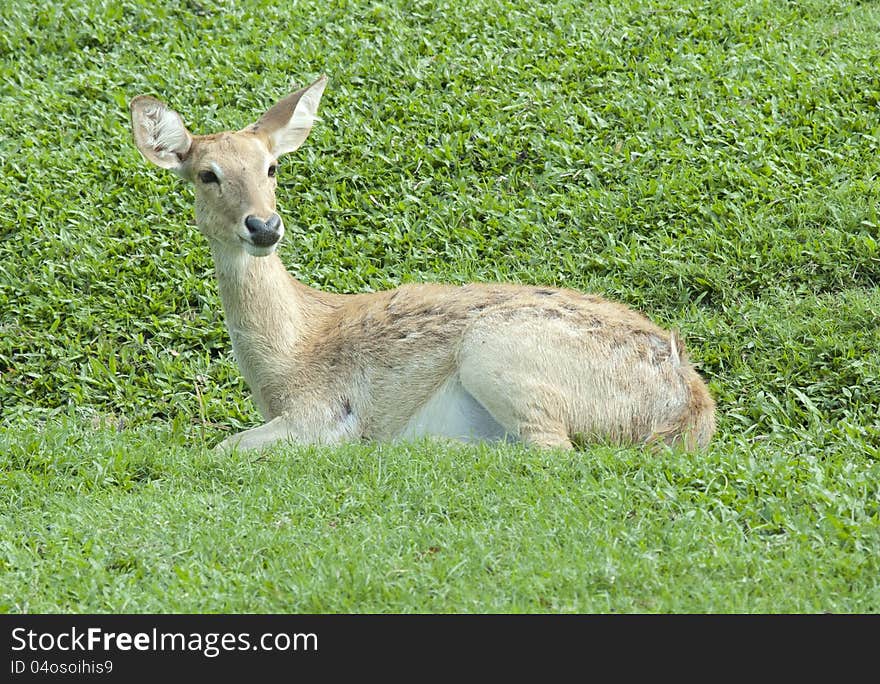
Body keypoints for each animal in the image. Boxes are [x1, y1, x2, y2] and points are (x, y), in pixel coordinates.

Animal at [131, 76, 720, 454]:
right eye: (207, 174)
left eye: (271, 166)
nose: (263, 226)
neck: (285, 363)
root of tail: (691, 407)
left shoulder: (324, 412)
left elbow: (219, 448)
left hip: (496, 351)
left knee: (551, 450)